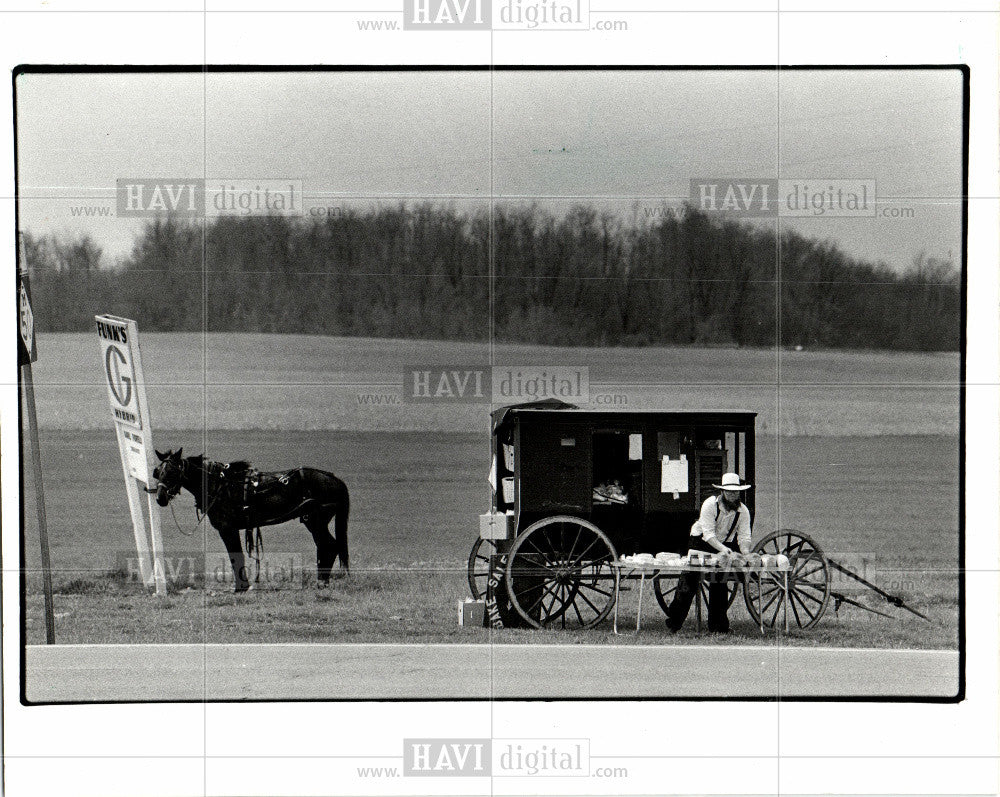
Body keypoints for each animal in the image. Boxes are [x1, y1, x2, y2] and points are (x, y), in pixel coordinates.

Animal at [150, 448, 350, 592]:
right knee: (327, 546)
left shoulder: (227, 529)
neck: (220, 486)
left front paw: (240, 587)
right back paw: (322, 580)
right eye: (158, 472)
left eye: (173, 472)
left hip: (316, 521)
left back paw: (322, 582)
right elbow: (236, 555)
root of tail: (335, 479)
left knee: (329, 546)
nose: (160, 498)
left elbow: (235, 556)